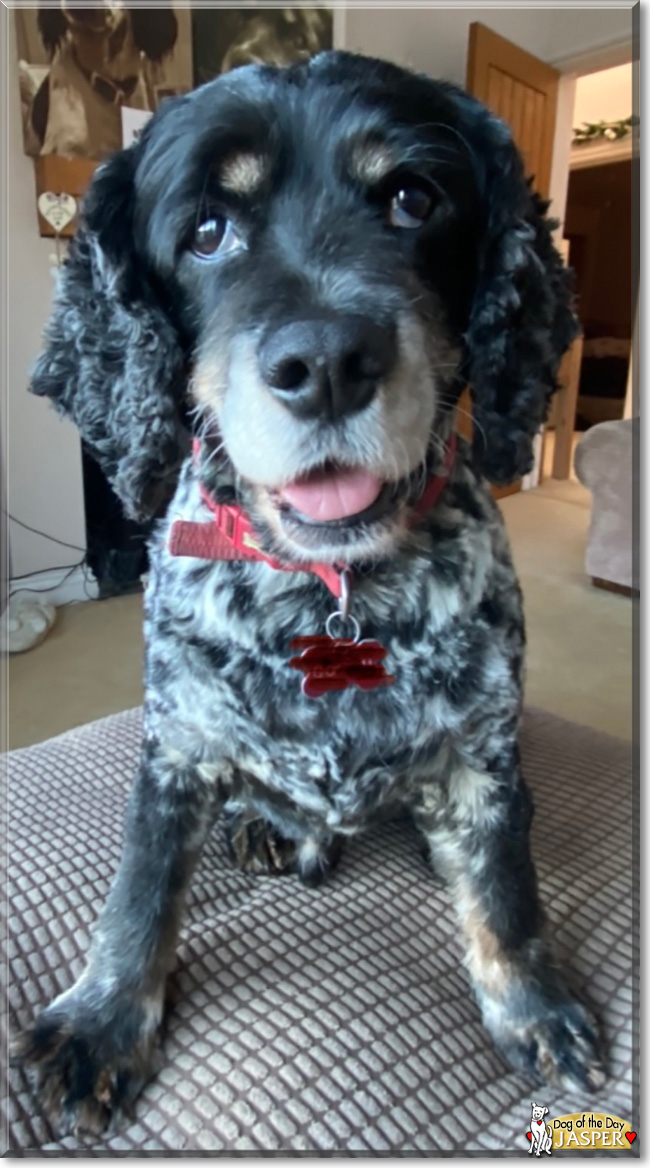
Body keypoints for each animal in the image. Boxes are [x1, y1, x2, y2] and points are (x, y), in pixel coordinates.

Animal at [15, 50, 602, 1135]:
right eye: (206, 230)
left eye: (413, 200)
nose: (325, 363)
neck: (334, 592)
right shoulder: (177, 740)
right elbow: (138, 890)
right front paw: (105, 1020)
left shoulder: (481, 744)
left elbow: (506, 891)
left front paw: (533, 1006)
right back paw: (259, 824)